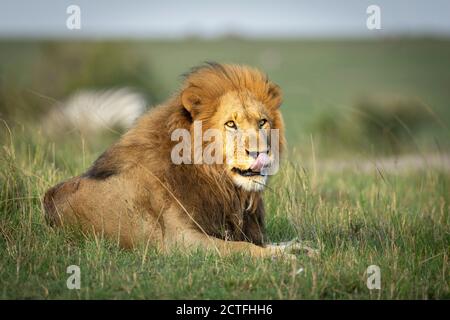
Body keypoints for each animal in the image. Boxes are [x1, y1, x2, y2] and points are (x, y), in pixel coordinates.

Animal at [43, 63, 302, 260]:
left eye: (262, 122)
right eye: (231, 124)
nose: (261, 153)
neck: (220, 184)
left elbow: (269, 243)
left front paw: (299, 248)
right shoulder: (179, 240)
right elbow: (241, 248)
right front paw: (286, 259)